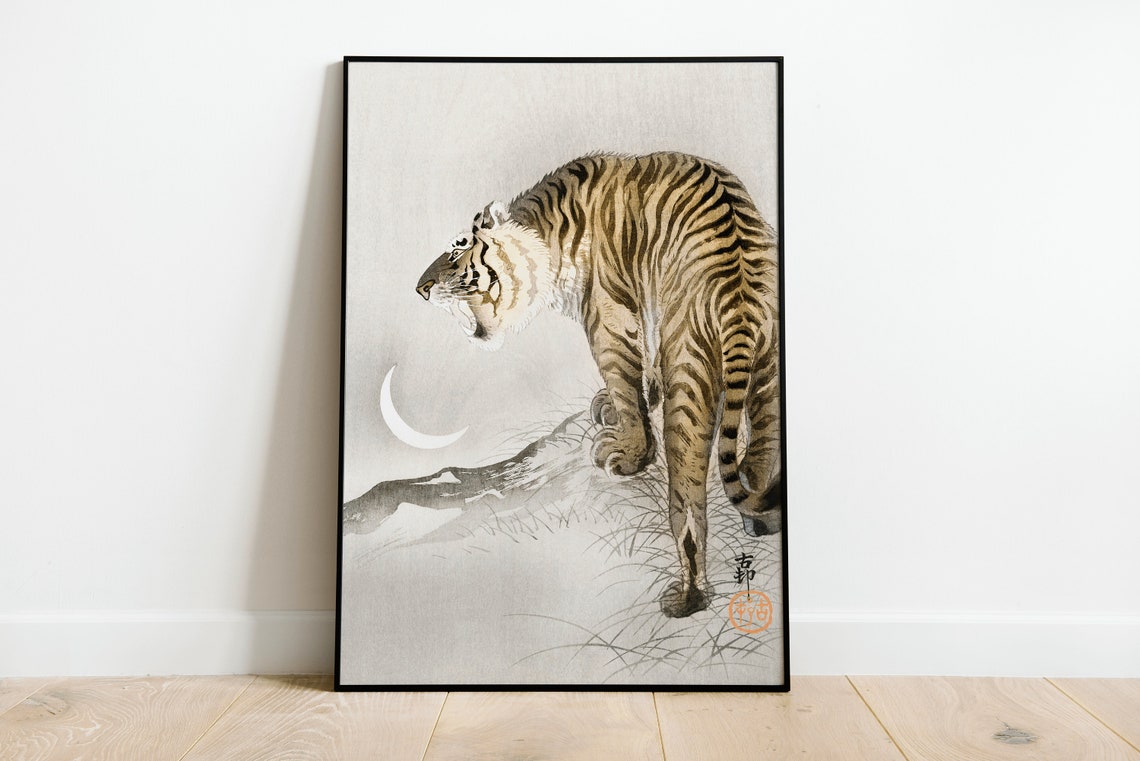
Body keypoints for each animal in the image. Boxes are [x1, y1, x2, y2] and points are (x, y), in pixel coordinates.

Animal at [414, 151, 782, 618]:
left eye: (457, 248)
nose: (421, 288)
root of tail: (740, 297)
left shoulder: (608, 317)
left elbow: (624, 381)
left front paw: (629, 452)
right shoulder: (646, 306)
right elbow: (644, 367)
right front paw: (626, 400)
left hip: (690, 375)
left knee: (688, 502)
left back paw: (688, 597)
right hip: (769, 374)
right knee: (759, 458)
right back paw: (761, 521)